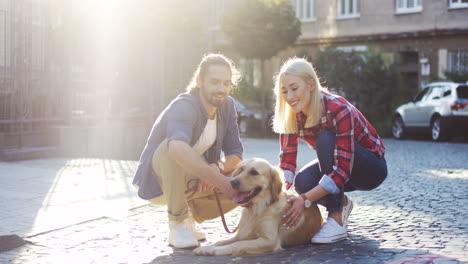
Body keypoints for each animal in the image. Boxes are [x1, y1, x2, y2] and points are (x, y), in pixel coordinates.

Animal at [193, 158, 322, 255]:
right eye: (241, 169)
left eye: (254, 172)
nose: (232, 182)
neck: (257, 209)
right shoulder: (241, 235)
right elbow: (222, 241)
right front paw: (206, 247)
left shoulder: (270, 240)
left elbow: (238, 244)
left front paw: (216, 250)